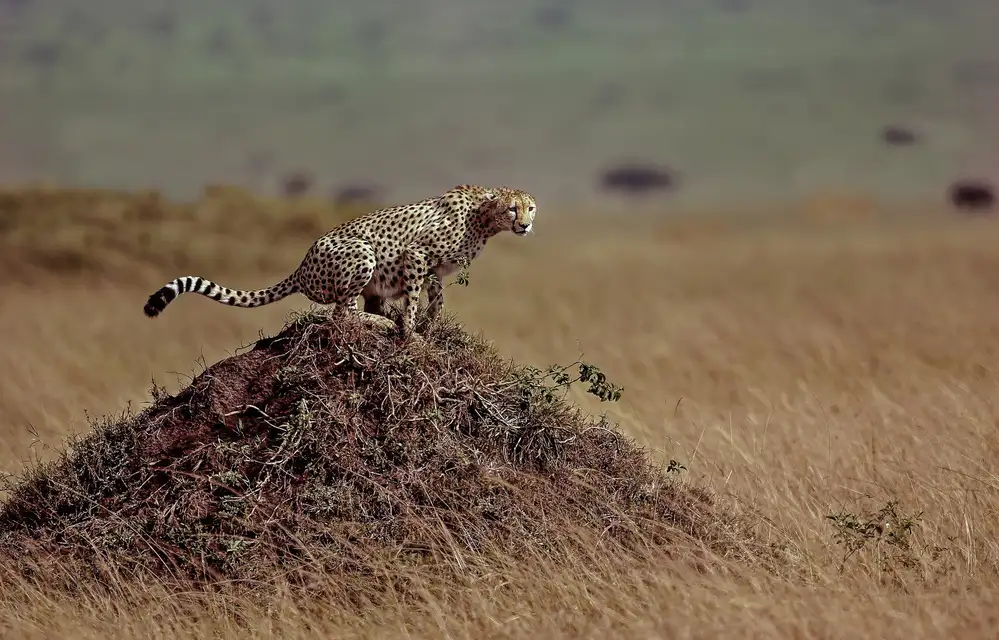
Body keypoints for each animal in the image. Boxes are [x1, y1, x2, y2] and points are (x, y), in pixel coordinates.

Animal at [142, 184, 537, 338]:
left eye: (530, 207)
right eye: (512, 209)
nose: (525, 225)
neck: (484, 218)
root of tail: (300, 268)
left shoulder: (436, 269)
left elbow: (437, 300)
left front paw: (428, 326)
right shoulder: (416, 254)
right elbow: (413, 299)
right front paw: (411, 332)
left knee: (353, 309)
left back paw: (382, 316)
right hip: (362, 252)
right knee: (341, 315)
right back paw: (381, 322)